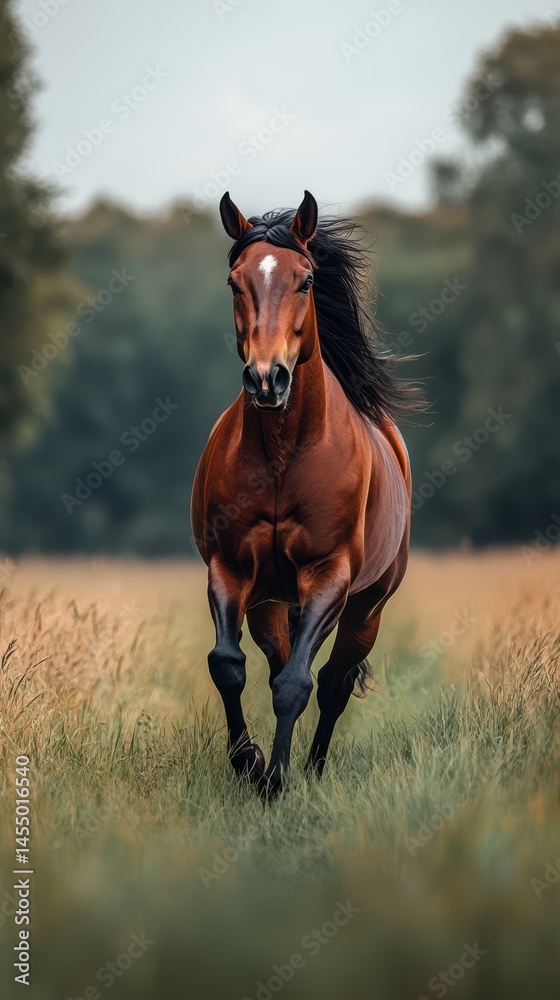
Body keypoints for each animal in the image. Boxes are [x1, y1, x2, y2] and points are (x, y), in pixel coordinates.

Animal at [191, 190, 418, 797]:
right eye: (234, 282)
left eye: (307, 280)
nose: (267, 379)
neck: (283, 453)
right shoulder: (230, 569)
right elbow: (228, 665)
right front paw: (249, 762)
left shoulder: (328, 574)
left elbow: (299, 685)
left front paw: (276, 780)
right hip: (271, 601)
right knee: (279, 661)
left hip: (367, 606)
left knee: (334, 681)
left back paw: (312, 770)